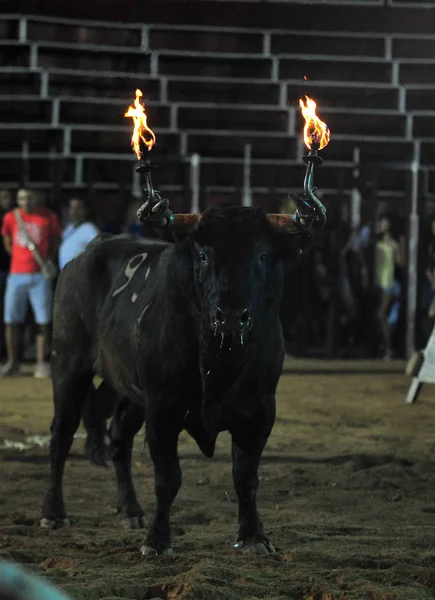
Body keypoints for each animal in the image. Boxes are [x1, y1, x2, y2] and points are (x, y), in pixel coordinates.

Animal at [40, 206, 306, 552]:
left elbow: (245, 477)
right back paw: (53, 513)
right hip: (68, 364)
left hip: (127, 387)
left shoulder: (259, 412)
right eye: (203, 255)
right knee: (62, 433)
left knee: (119, 436)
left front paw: (253, 536)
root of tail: (84, 255)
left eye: (262, 255)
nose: (231, 317)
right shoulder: (162, 411)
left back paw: (131, 510)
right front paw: (157, 539)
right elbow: (168, 478)